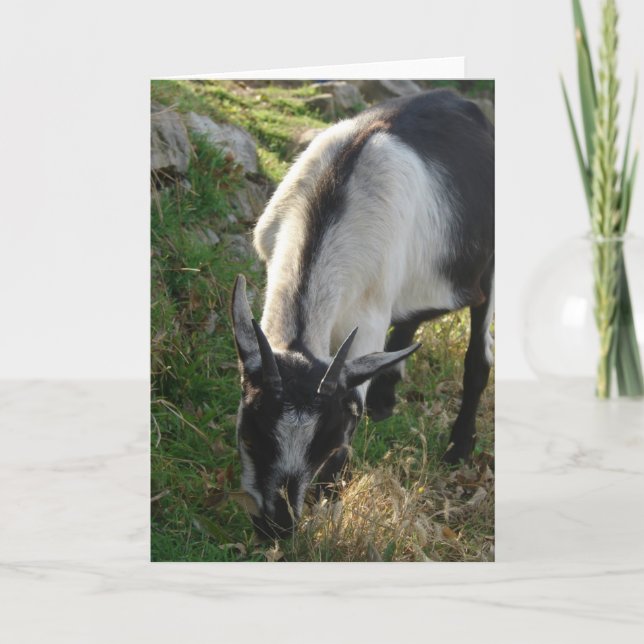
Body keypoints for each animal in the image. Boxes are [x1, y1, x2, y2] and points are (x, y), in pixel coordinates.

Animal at [231, 89, 494, 539]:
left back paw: (458, 446)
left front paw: (331, 510)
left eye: (332, 444)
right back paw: (387, 398)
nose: (278, 527)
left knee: (478, 350)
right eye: (249, 436)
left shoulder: (368, 317)